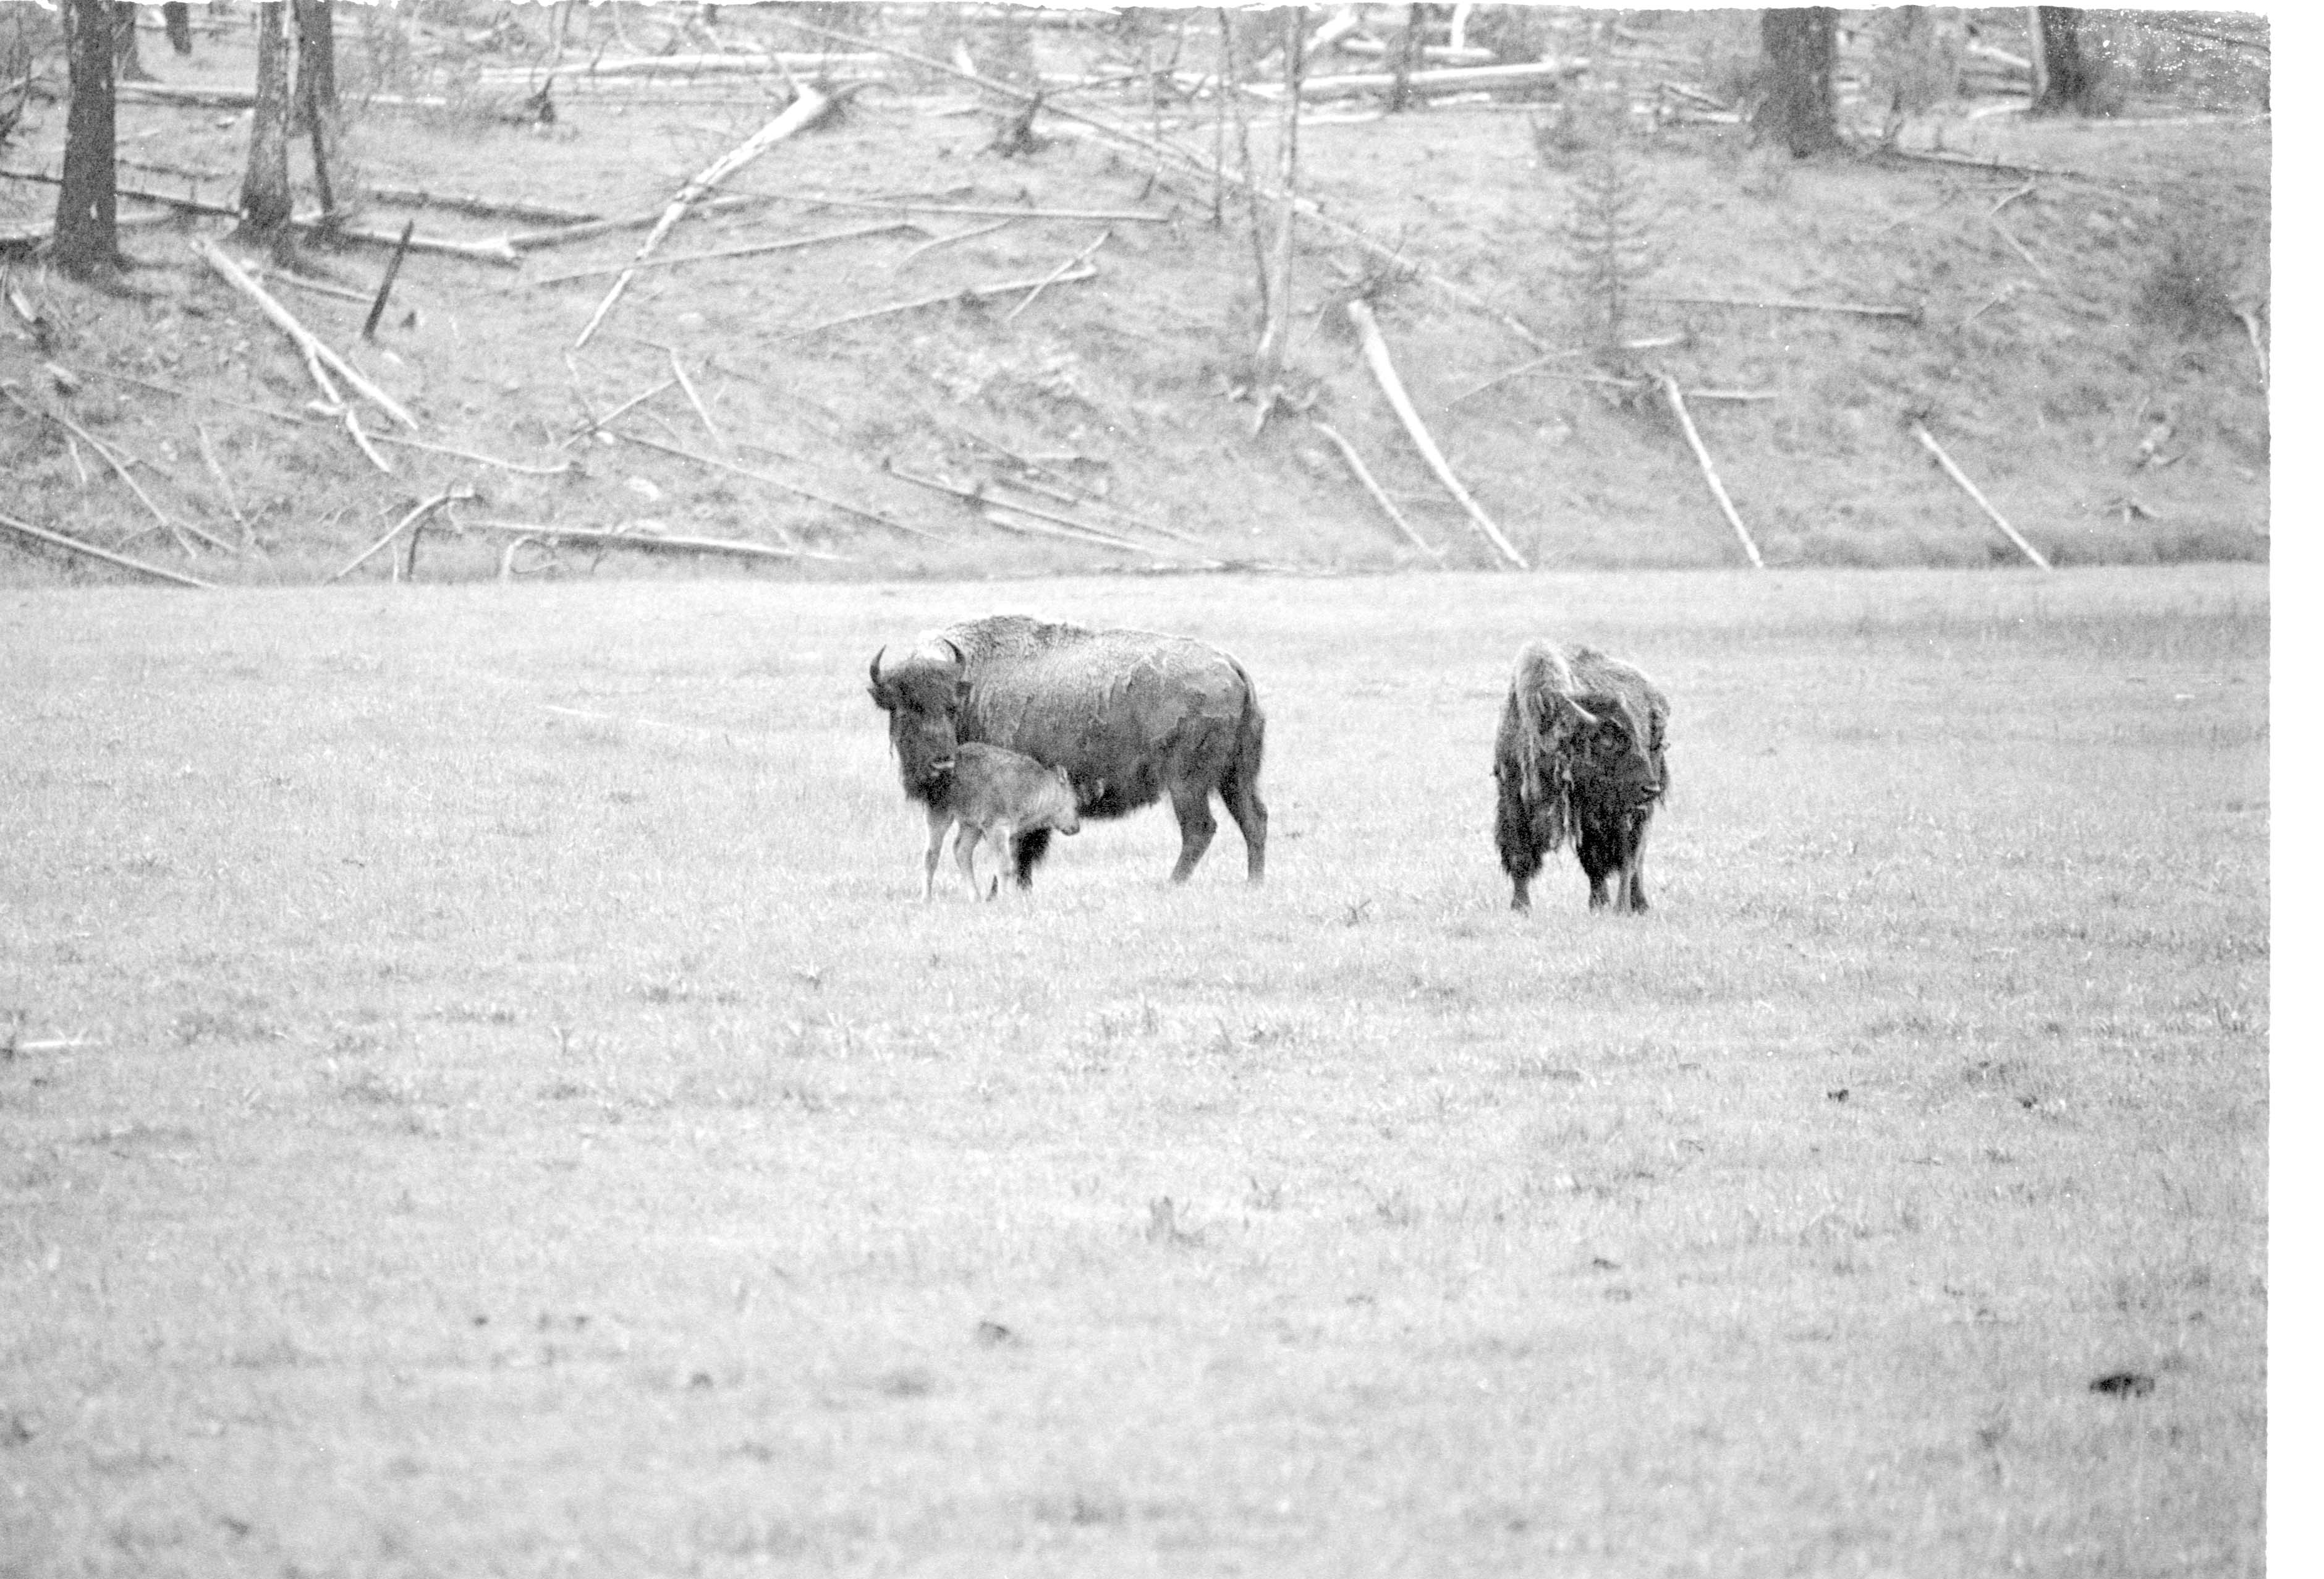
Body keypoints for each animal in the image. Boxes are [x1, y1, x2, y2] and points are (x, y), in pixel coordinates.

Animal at [868, 615, 1267, 887]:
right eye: (903, 710)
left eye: (951, 707)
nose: (941, 763)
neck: (974, 688)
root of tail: (1231, 666)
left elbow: (1019, 851)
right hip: (1236, 777)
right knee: (1254, 819)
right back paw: (1253, 884)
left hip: (1187, 784)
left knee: (1200, 829)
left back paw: (1171, 885)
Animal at [1493, 641, 1669, 913]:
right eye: (1607, 742)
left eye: (1636, 739)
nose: (1651, 789)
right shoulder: (1513, 800)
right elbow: (1520, 856)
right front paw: (1520, 908)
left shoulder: (1597, 812)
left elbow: (1605, 859)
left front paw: (1605, 906)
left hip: (1630, 811)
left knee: (1632, 857)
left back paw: (1631, 906)